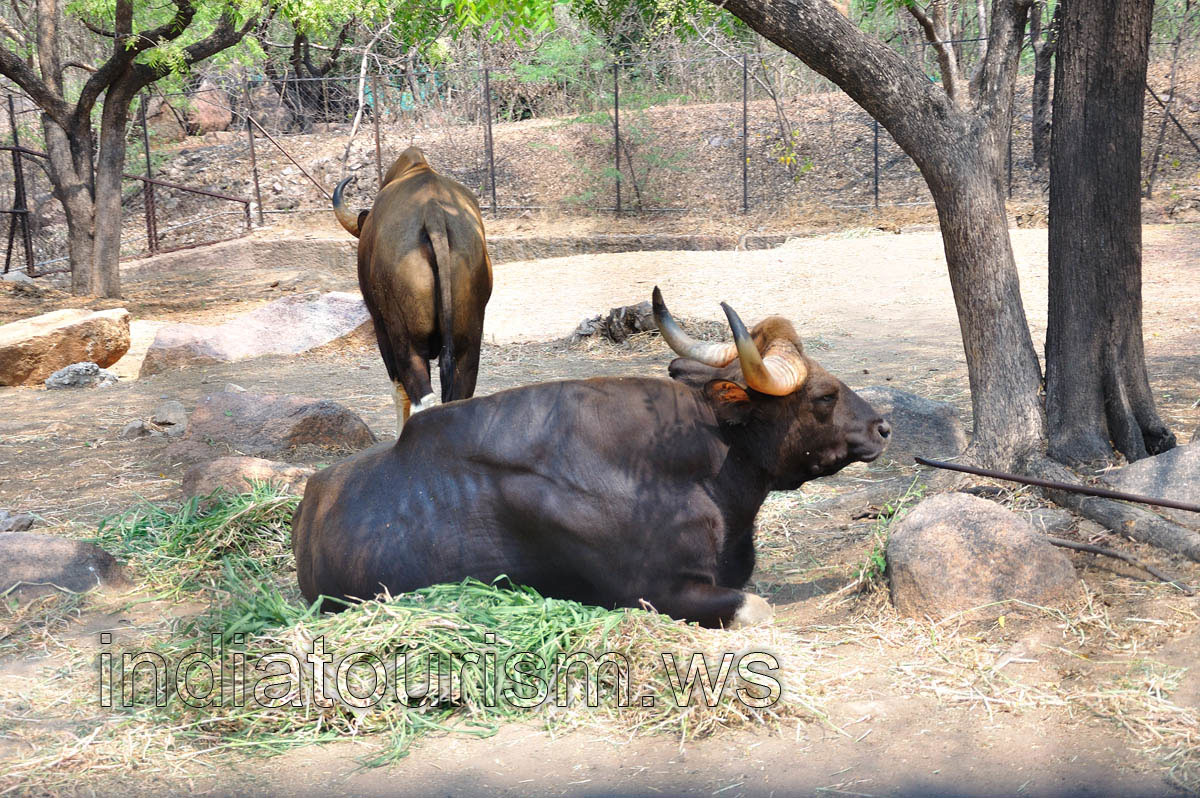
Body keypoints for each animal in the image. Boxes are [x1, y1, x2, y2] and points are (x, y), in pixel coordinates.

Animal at [332, 146, 493, 433]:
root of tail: (433, 213)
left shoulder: (382, 329)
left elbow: (399, 390)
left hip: (407, 338)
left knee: (420, 396)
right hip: (468, 338)